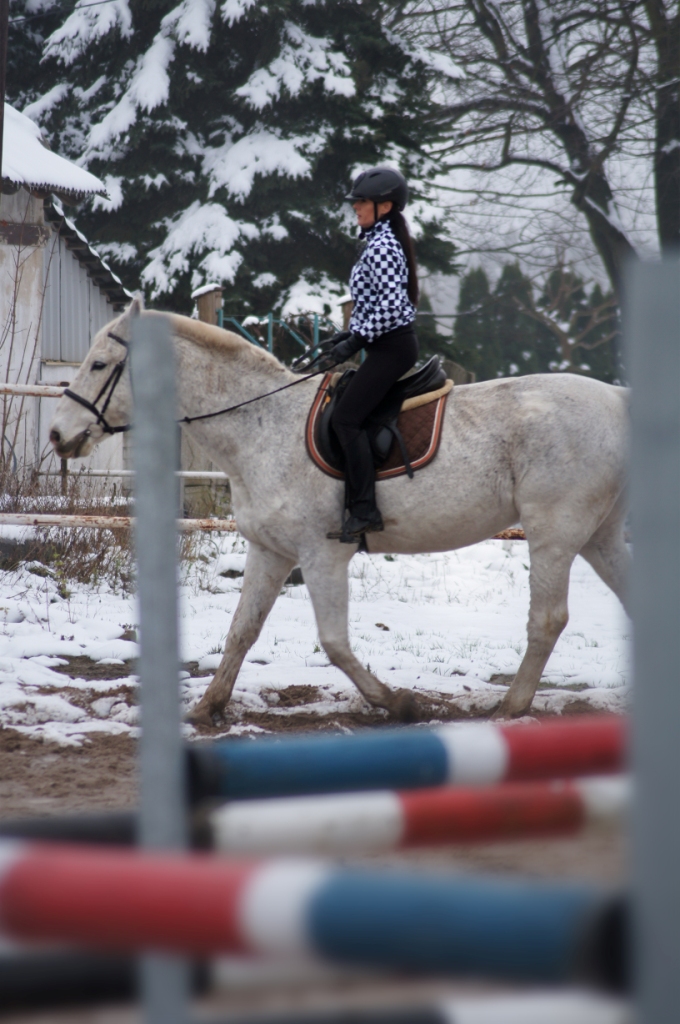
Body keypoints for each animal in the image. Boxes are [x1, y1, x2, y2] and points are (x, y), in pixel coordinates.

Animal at [48, 298, 630, 725]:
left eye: (99, 364)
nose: (57, 435)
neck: (261, 426)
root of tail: (617, 400)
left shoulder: (321, 554)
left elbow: (333, 643)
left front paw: (399, 702)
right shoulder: (269, 552)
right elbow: (242, 631)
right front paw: (207, 708)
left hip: (555, 532)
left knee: (547, 620)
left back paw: (511, 707)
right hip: (599, 536)